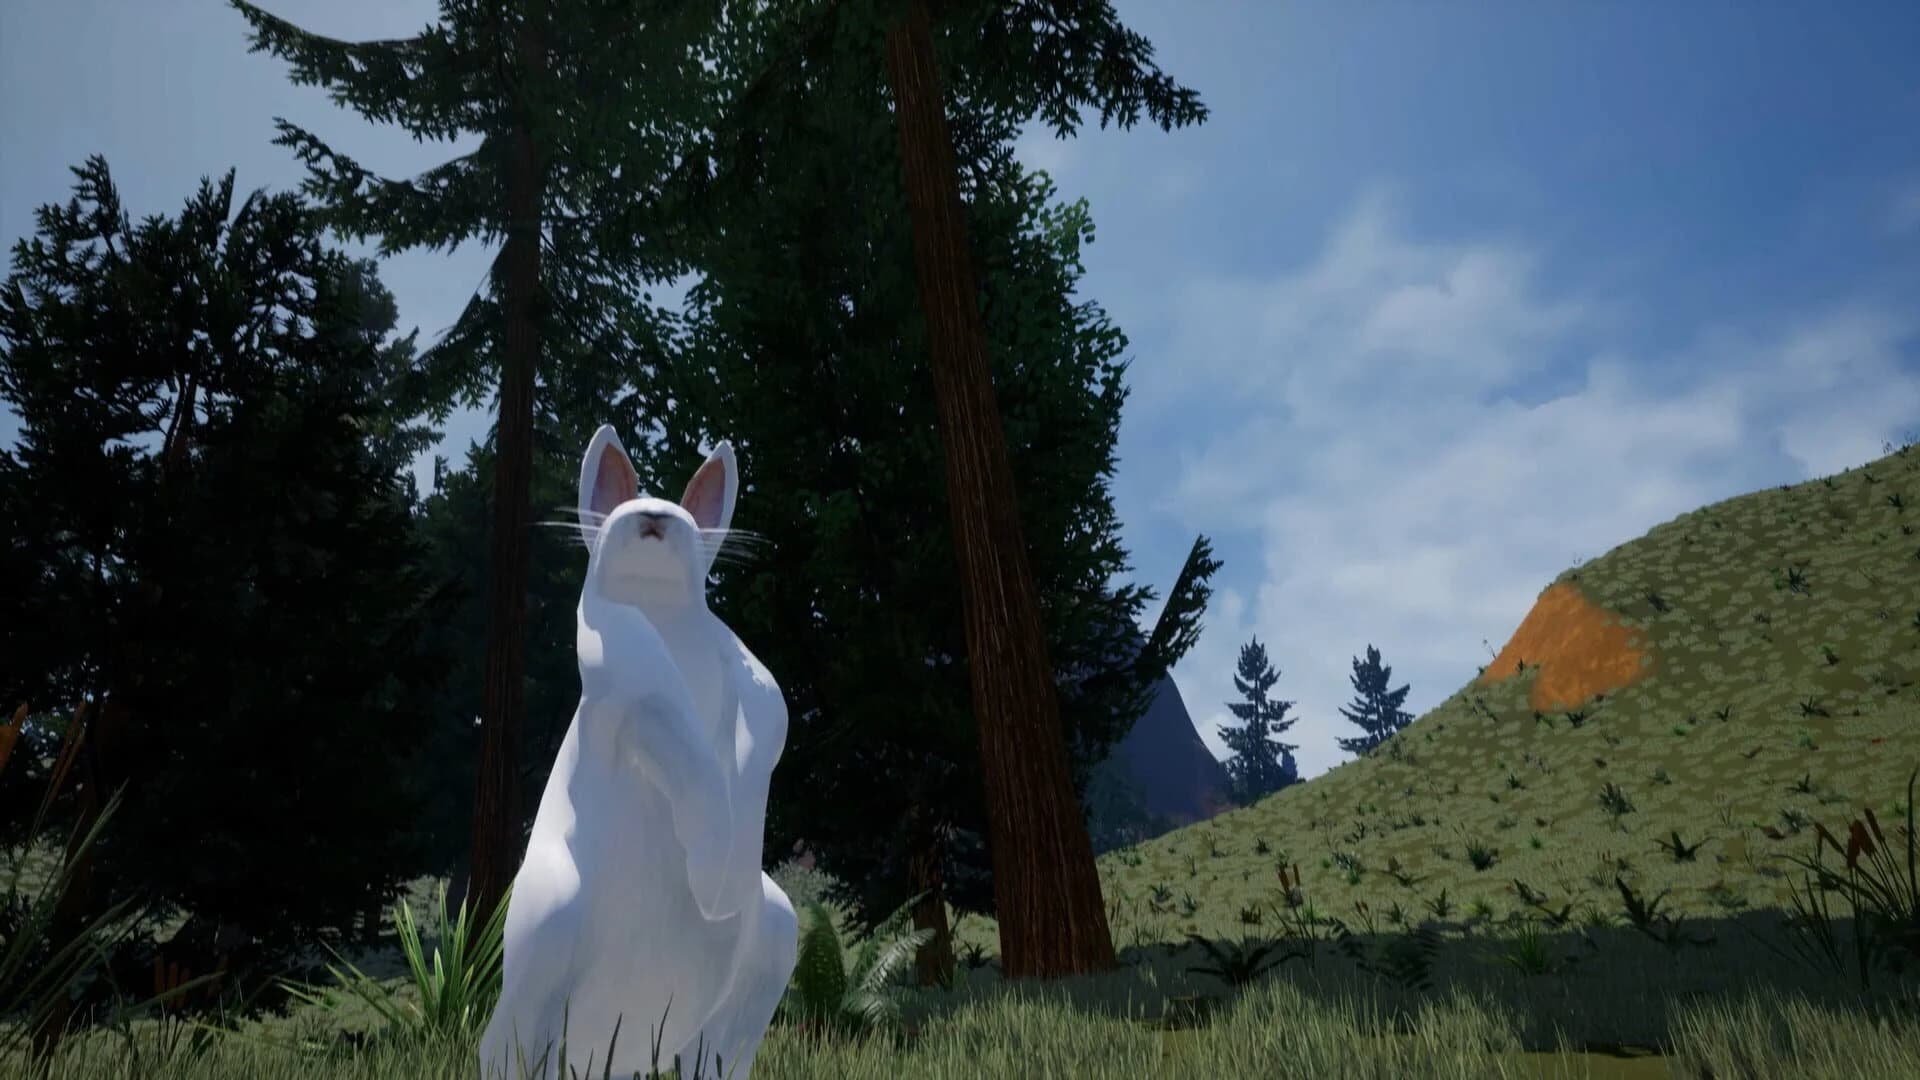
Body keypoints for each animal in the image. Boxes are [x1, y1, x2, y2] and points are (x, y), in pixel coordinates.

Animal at [477, 427, 758, 1080]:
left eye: (683, 510)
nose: (653, 514)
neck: (657, 612)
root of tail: (615, 1042)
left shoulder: (751, 684)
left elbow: (760, 728)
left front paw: (725, 870)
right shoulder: (622, 683)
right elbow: (674, 736)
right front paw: (711, 870)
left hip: (771, 941)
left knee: (713, 1050)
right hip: (548, 923)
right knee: (507, 1047)